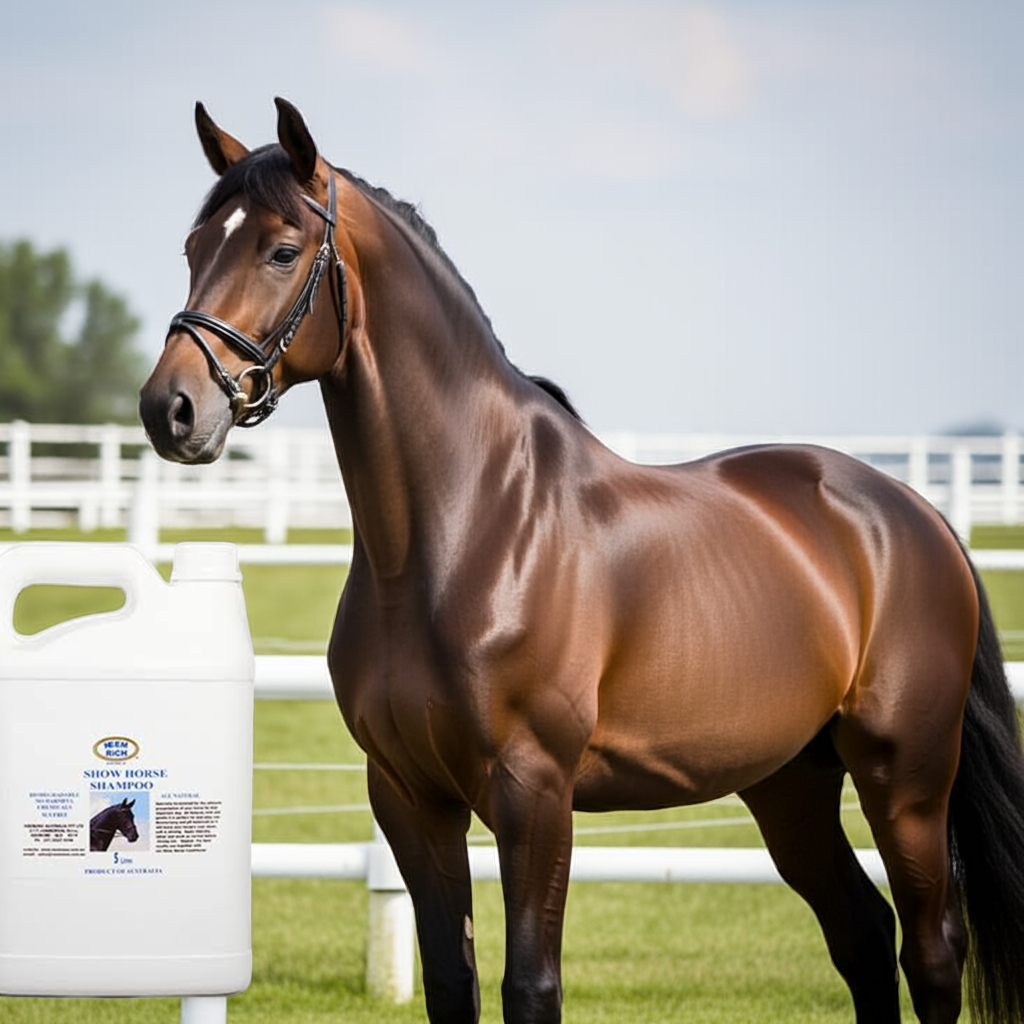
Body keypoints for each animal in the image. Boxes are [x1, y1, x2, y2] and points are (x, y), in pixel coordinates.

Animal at [139, 98, 1024, 1024]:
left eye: (281, 249)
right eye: (194, 248)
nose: (171, 409)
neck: (464, 532)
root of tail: (912, 513)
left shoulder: (534, 794)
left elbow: (531, 986)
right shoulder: (410, 797)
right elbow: (451, 981)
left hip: (905, 779)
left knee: (931, 952)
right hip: (791, 781)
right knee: (862, 935)